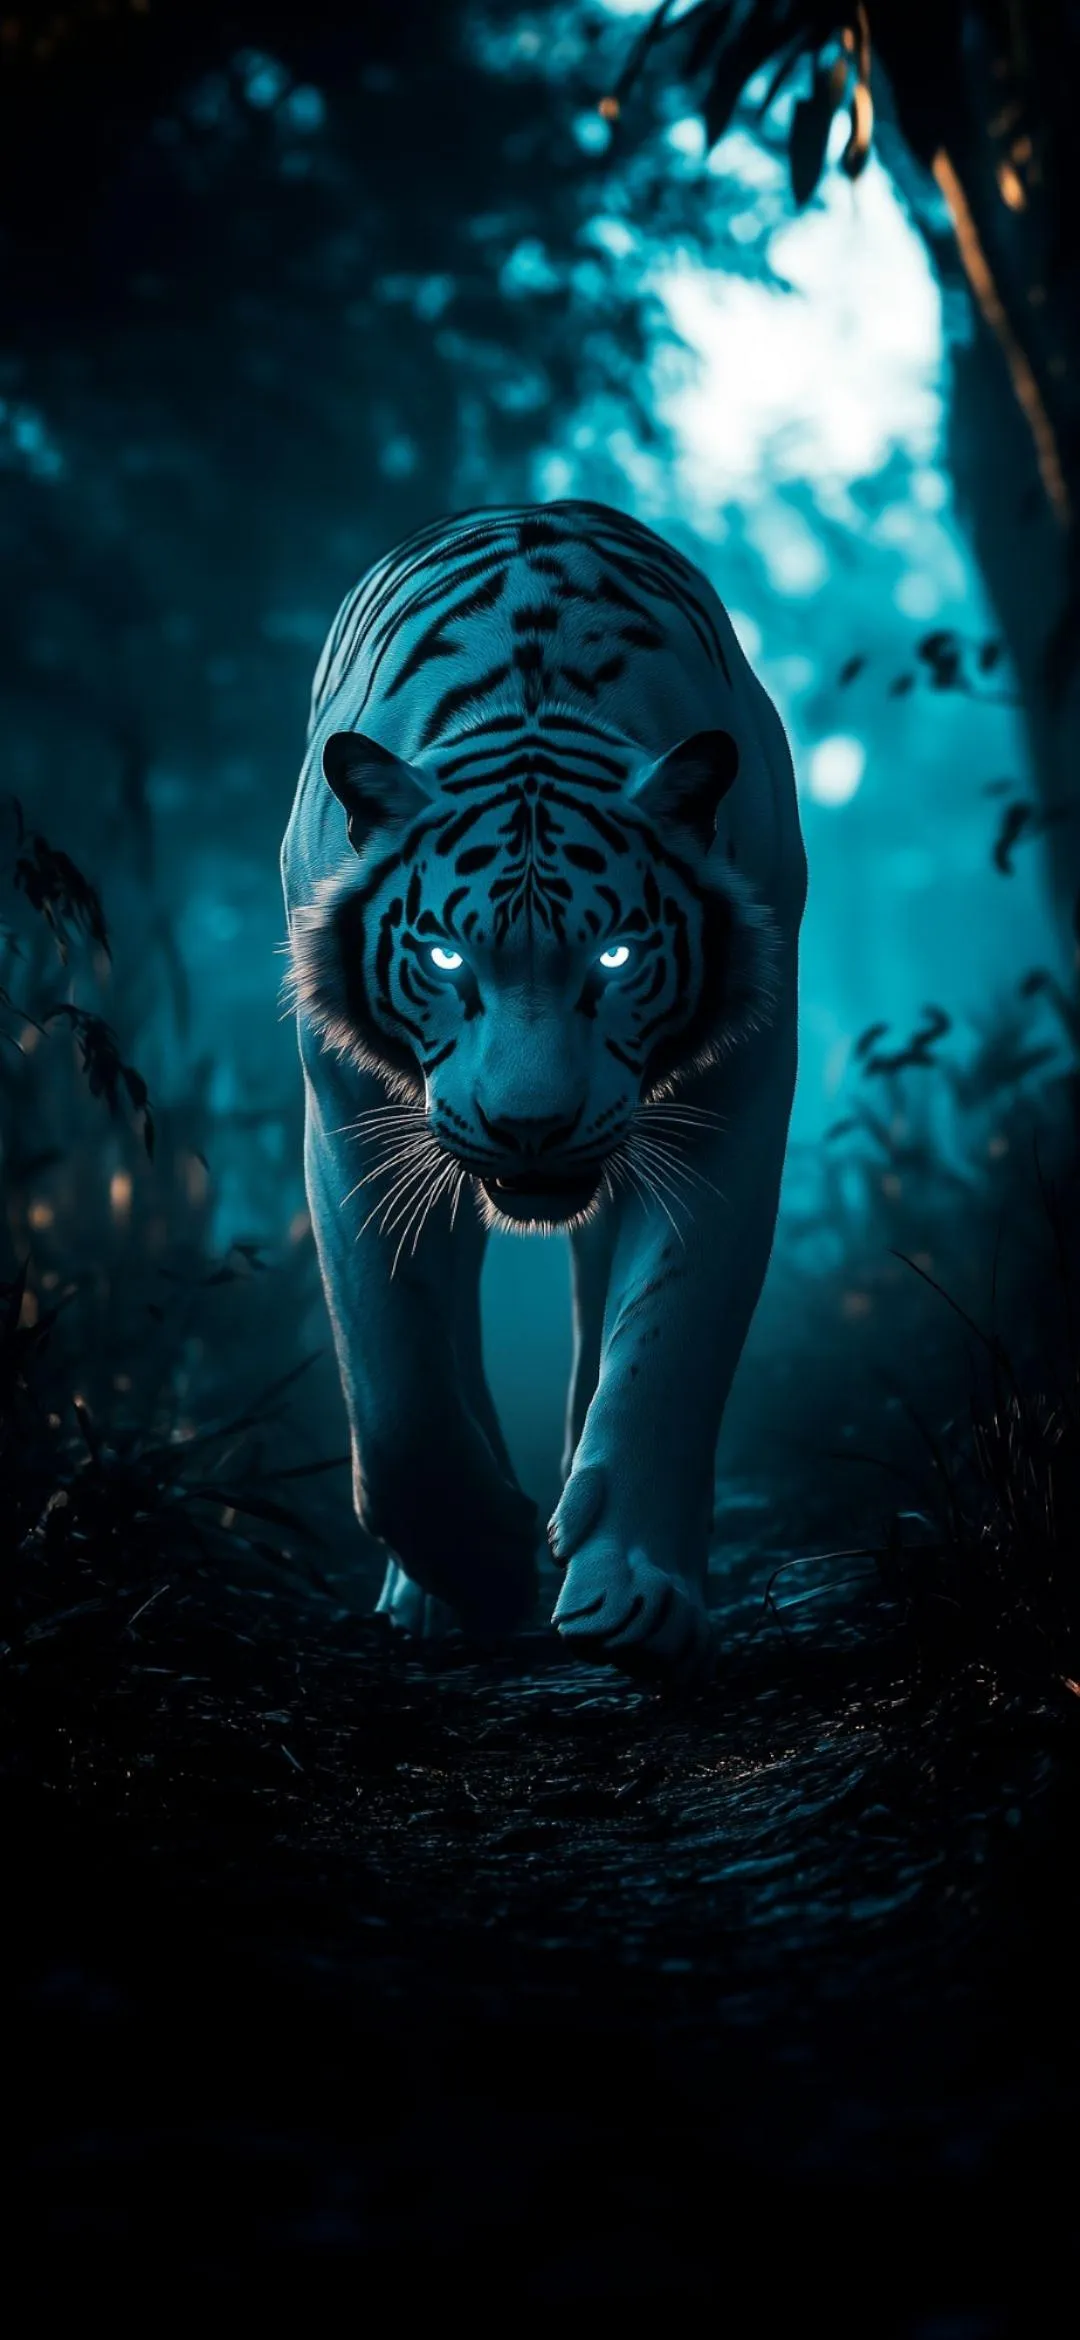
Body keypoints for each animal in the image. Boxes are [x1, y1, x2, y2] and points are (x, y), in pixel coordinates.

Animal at [281, 500, 807, 1681]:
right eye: (443, 958)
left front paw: (634, 1592)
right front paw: (481, 1566)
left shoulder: (733, 1092)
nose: (531, 1128)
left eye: (614, 958)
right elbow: (398, 1398)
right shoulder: (351, 1106)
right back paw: (433, 1594)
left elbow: (668, 1343)